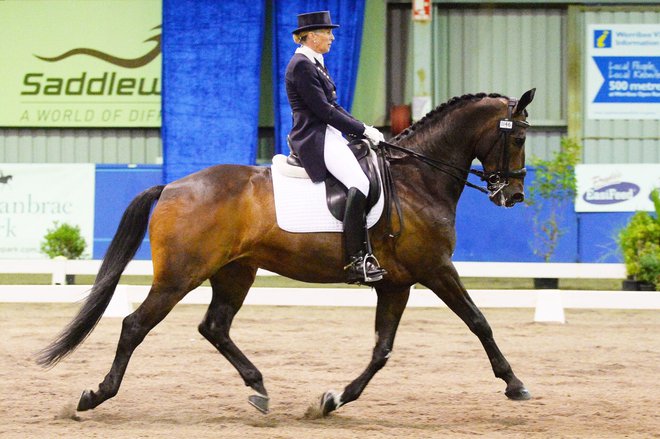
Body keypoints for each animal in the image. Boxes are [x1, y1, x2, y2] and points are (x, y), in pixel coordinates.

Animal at [37, 88, 536, 416]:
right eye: (518, 138)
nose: (511, 195)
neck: (416, 179)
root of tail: (173, 185)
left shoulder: (396, 282)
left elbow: (382, 349)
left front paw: (333, 399)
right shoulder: (436, 269)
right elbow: (479, 322)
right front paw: (515, 384)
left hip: (235, 271)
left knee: (214, 326)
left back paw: (259, 388)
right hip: (180, 276)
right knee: (135, 325)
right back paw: (96, 395)